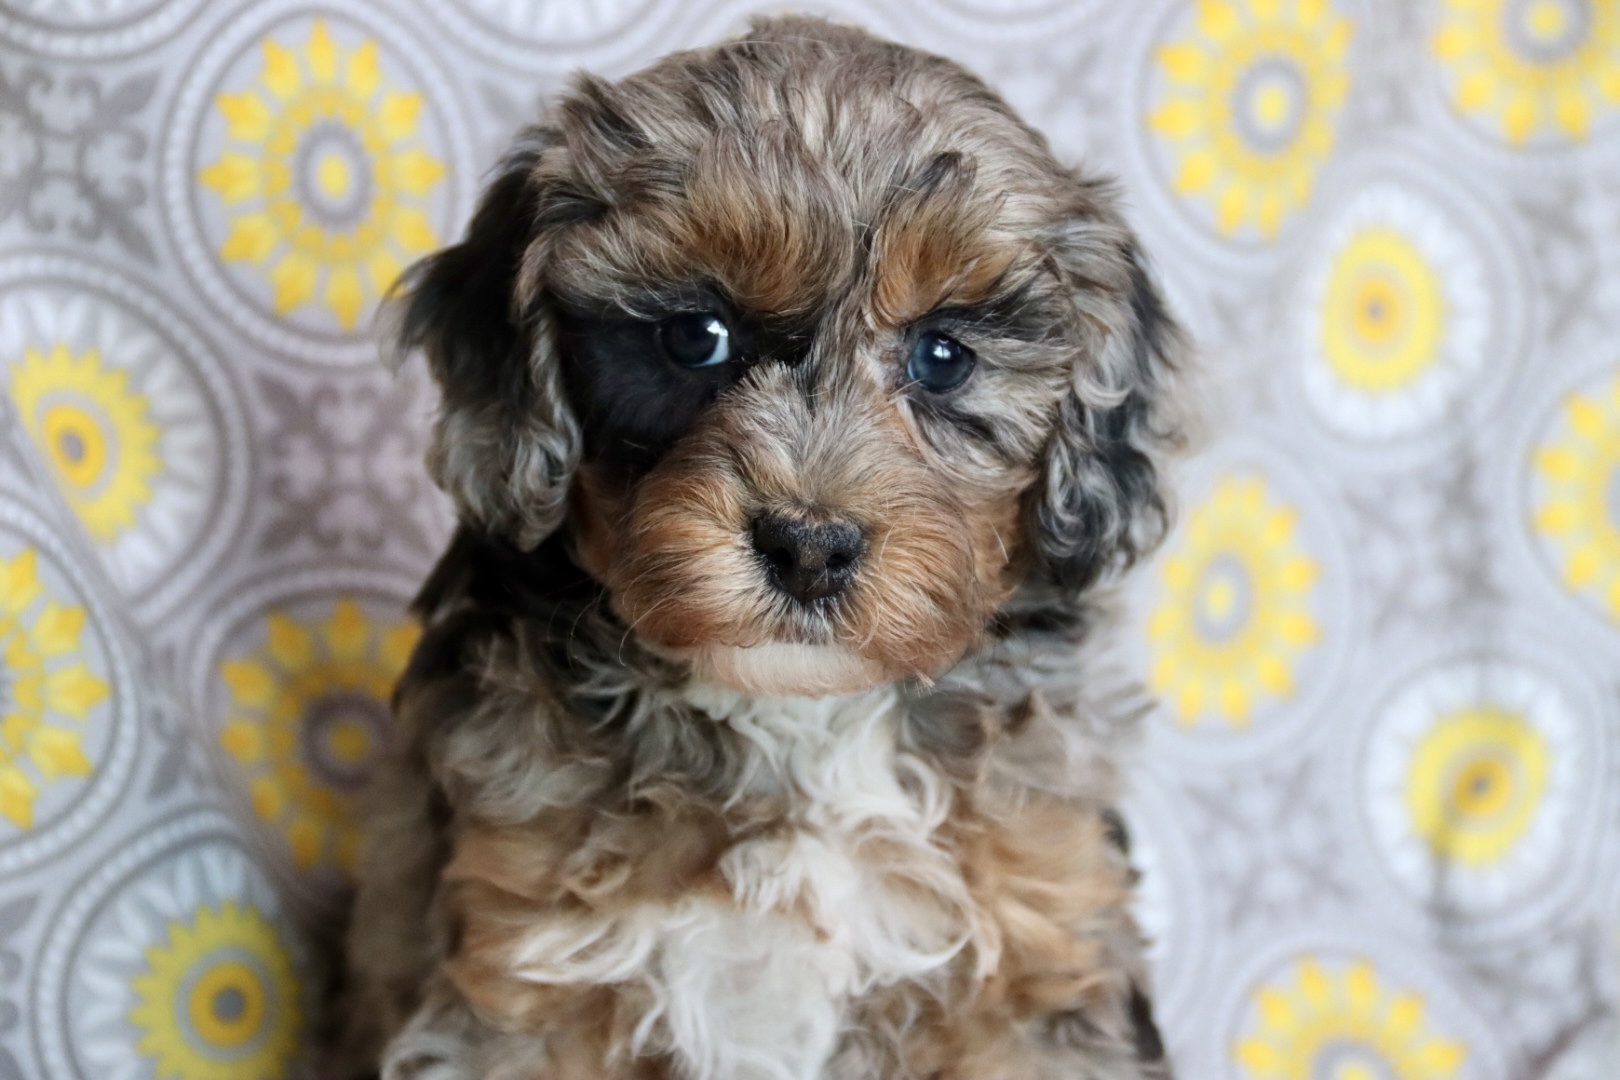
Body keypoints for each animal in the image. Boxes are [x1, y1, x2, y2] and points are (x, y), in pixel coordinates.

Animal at [335, 15, 1188, 1080]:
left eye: (944, 357)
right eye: (693, 337)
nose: (810, 548)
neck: (797, 720)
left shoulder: (1038, 967)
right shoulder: (523, 975)